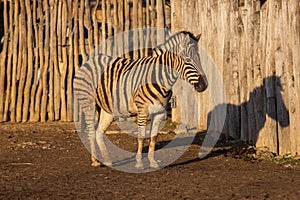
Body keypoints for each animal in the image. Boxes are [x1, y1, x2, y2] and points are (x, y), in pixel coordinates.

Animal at [74, 31, 207, 169]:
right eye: (188, 60)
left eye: (199, 58)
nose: (204, 85)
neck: (159, 78)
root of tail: (89, 60)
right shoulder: (142, 110)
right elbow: (141, 136)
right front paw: (139, 163)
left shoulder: (159, 113)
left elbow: (153, 137)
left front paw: (152, 162)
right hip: (88, 103)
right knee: (90, 132)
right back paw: (95, 161)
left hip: (108, 109)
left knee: (99, 132)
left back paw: (107, 160)